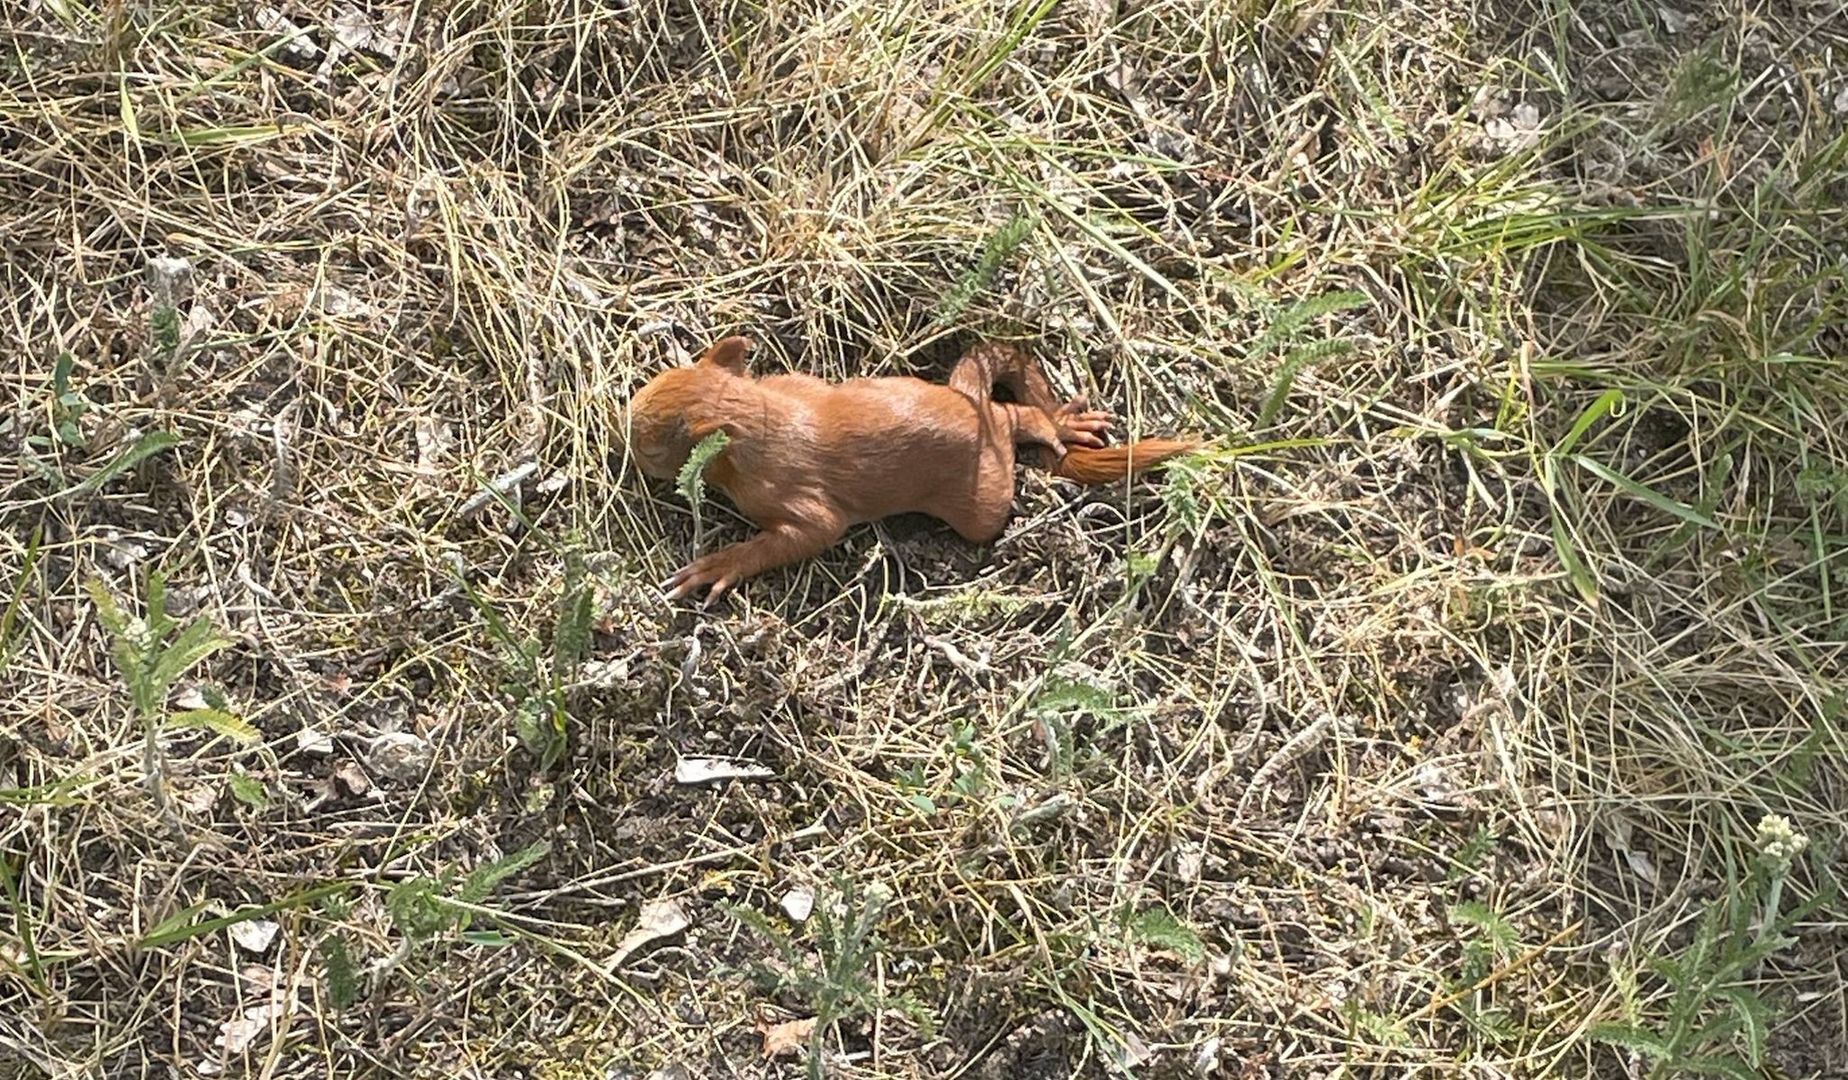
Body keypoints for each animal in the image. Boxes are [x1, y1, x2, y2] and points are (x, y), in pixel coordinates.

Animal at [620, 332, 1197, 602]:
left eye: (649, 446)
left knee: (1010, 425)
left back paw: (1051, 427)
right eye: (655, 380)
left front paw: (714, 568)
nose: (618, 423)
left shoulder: (793, 495)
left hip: (982, 498)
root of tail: (972, 407)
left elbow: (805, 534)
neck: (761, 419)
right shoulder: (791, 384)